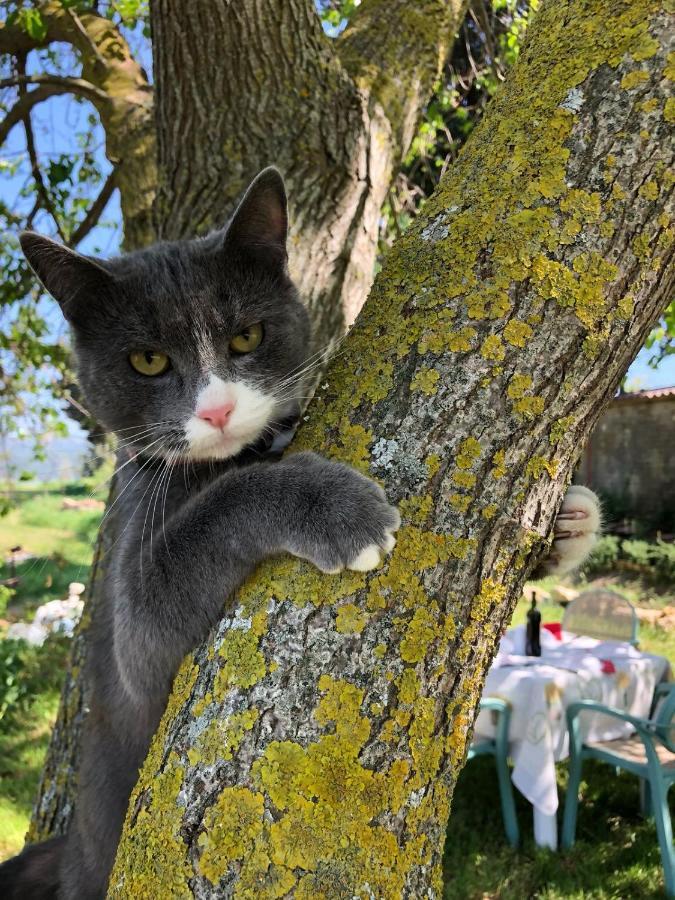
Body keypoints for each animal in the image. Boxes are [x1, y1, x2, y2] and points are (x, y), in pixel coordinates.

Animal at [0, 169, 604, 900]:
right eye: (146, 360)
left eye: (245, 338)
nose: (217, 409)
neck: (242, 453)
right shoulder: (133, 610)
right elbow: (209, 523)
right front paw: (339, 510)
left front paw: (569, 522)